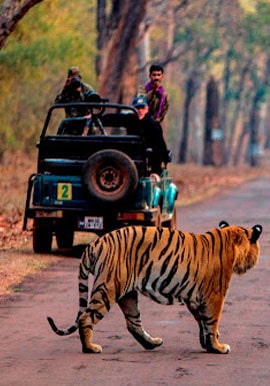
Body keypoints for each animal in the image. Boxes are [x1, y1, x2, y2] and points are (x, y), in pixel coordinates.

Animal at [47, 222, 262, 354]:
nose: (256, 260)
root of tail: (95, 243)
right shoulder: (214, 296)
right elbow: (212, 321)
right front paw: (218, 347)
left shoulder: (195, 299)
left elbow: (203, 323)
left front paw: (208, 344)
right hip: (108, 288)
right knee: (86, 317)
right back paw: (90, 348)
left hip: (128, 294)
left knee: (133, 323)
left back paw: (152, 343)